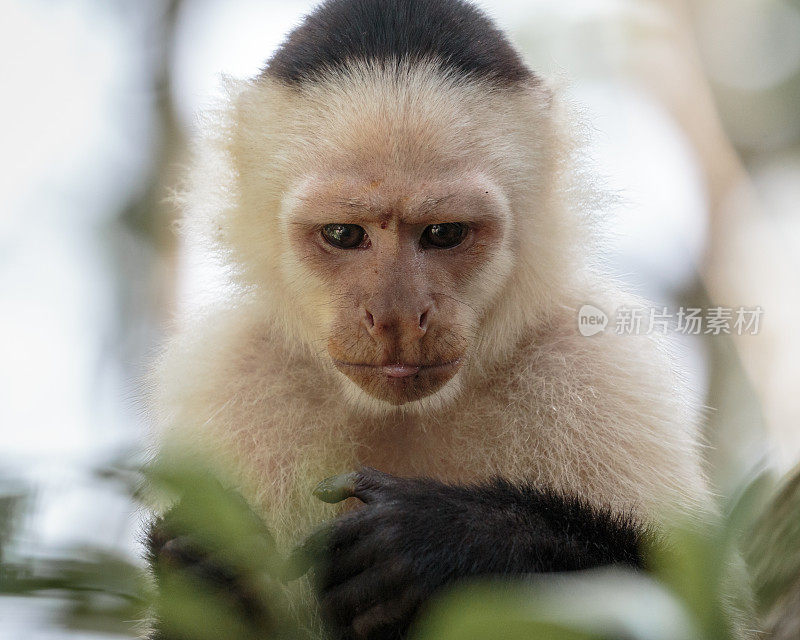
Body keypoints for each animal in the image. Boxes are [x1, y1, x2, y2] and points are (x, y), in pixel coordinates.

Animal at [147, 0, 720, 636]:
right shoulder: (229, 376)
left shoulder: (598, 364)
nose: (396, 316)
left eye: (443, 233)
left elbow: (689, 604)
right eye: (344, 234)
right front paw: (205, 567)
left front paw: (442, 540)